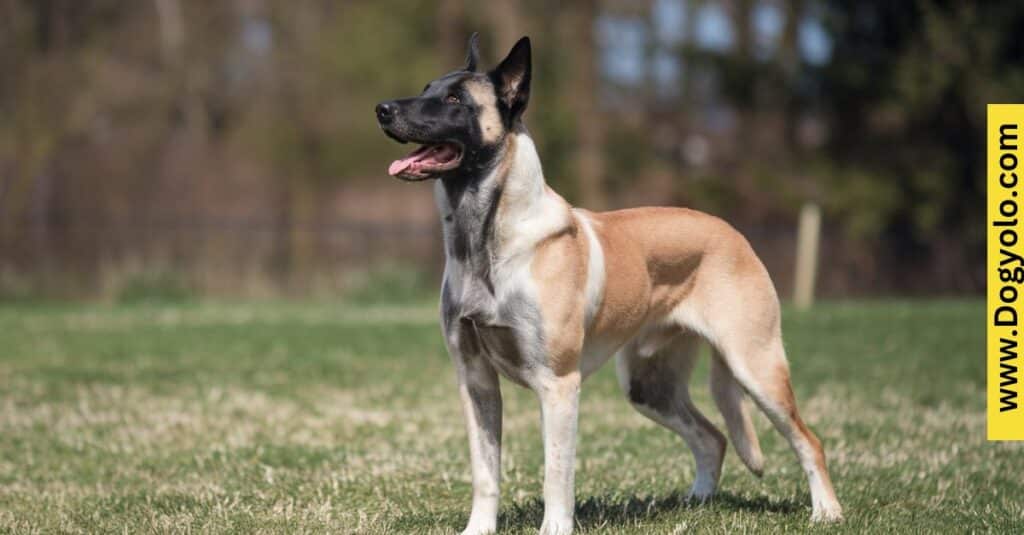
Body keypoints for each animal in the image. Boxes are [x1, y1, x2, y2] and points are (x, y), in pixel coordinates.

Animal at [376, 33, 839, 532]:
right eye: (427, 88)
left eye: (455, 99)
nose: (382, 109)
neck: (484, 240)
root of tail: (732, 232)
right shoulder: (475, 379)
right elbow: (486, 472)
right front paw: (478, 529)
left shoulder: (559, 384)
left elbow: (557, 473)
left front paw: (554, 529)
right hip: (648, 386)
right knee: (712, 437)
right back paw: (696, 503)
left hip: (755, 366)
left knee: (808, 441)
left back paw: (826, 511)